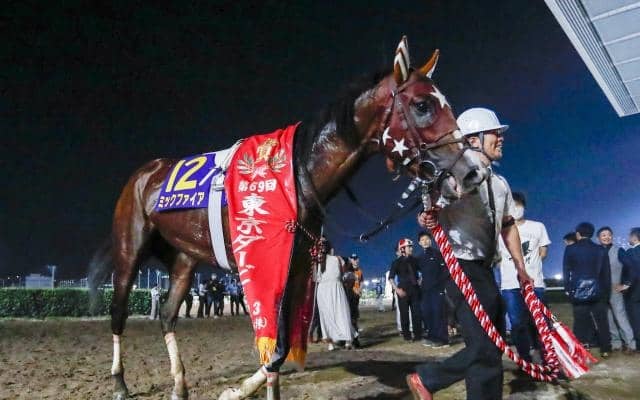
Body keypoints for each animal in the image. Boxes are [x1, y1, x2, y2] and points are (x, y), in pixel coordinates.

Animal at [88, 36, 489, 400]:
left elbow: (280, 347)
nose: (473, 171)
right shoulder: (261, 264)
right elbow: (274, 342)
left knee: (168, 316)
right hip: (130, 249)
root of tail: (144, 174)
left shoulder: (296, 265)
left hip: (185, 259)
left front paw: (246, 386)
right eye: (422, 105)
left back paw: (179, 386)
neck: (296, 176)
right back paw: (119, 383)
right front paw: (243, 388)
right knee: (119, 312)